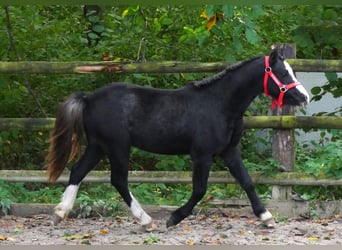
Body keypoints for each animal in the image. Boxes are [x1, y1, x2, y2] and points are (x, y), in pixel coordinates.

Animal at [46, 47, 310, 229]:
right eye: (283, 72)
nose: (304, 97)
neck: (220, 104)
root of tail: (89, 98)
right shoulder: (202, 155)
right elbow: (200, 189)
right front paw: (173, 218)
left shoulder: (229, 151)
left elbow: (246, 181)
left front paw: (266, 217)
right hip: (117, 147)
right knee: (118, 180)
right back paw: (146, 220)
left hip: (99, 146)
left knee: (78, 171)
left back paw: (60, 212)